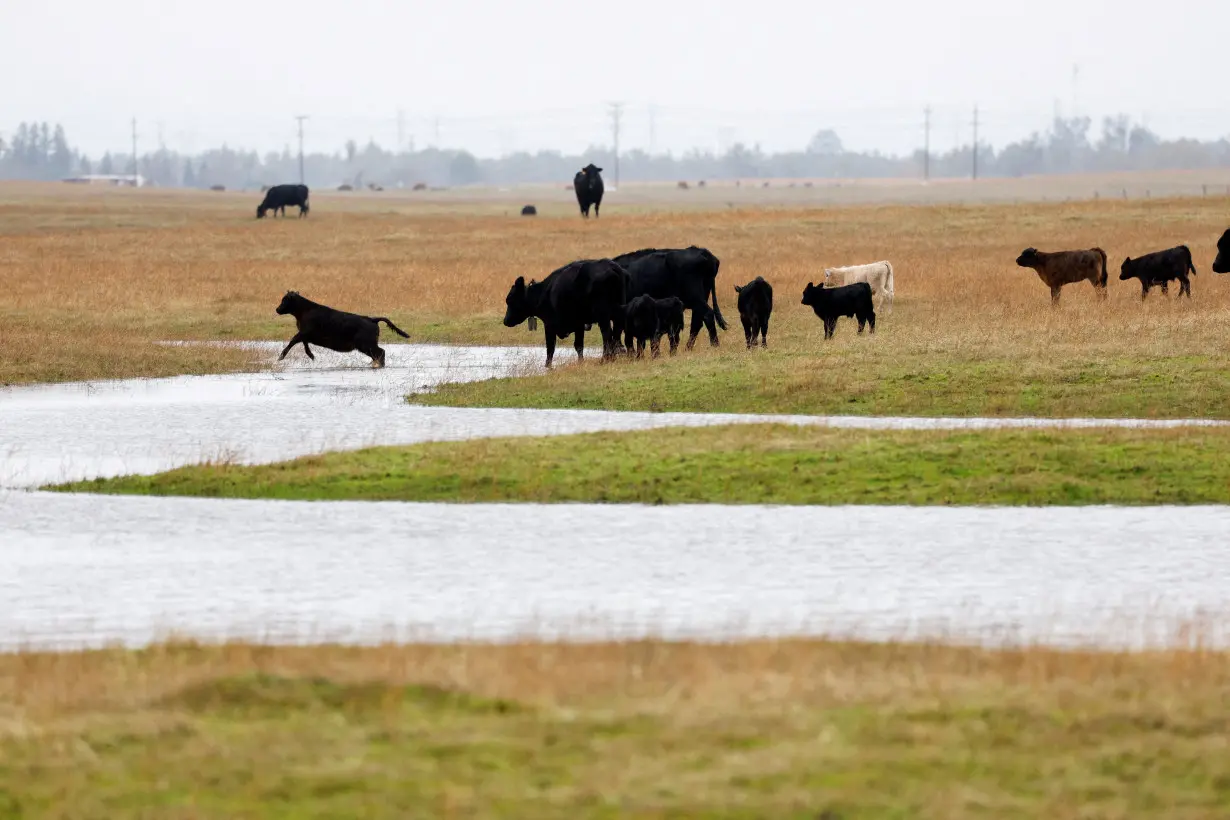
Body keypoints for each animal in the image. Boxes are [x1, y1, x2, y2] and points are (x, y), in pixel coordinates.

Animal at [276, 288, 410, 366]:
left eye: (284, 300)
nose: (277, 309)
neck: (304, 311)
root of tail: (371, 319)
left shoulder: (303, 332)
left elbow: (293, 341)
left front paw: (280, 357)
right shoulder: (305, 334)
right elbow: (304, 344)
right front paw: (312, 356)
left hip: (365, 345)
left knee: (381, 352)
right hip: (367, 345)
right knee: (379, 353)